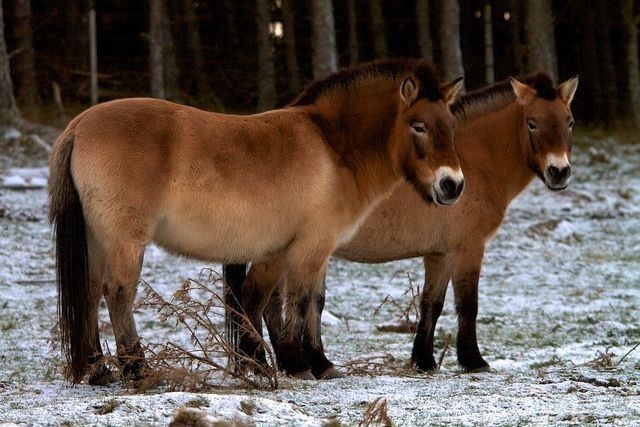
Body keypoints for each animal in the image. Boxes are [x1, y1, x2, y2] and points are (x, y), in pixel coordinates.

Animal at [46, 57, 464, 384]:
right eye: (418, 125)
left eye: (451, 126)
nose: (453, 185)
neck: (333, 147)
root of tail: (78, 126)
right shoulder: (311, 246)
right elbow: (299, 302)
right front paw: (298, 363)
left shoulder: (284, 250)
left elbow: (264, 300)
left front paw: (272, 363)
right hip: (125, 239)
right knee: (117, 292)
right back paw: (137, 370)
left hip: (96, 238)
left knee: (89, 291)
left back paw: (98, 371)